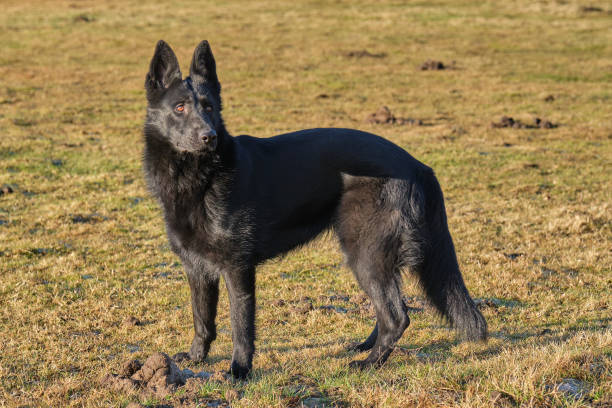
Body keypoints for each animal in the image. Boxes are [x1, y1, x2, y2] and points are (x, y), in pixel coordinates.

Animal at [143, 39, 488, 378]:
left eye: (210, 107)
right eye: (179, 108)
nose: (209, 137)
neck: (200, 176)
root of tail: (417, 165)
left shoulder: (237, 268)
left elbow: (241, 325)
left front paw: (239, 371)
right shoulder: (197, 269)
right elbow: (202, 319)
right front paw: (195, 357)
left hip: (365, 254)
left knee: (397, 316)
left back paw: (368, 364)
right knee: (388, 310)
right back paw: (364, 348)